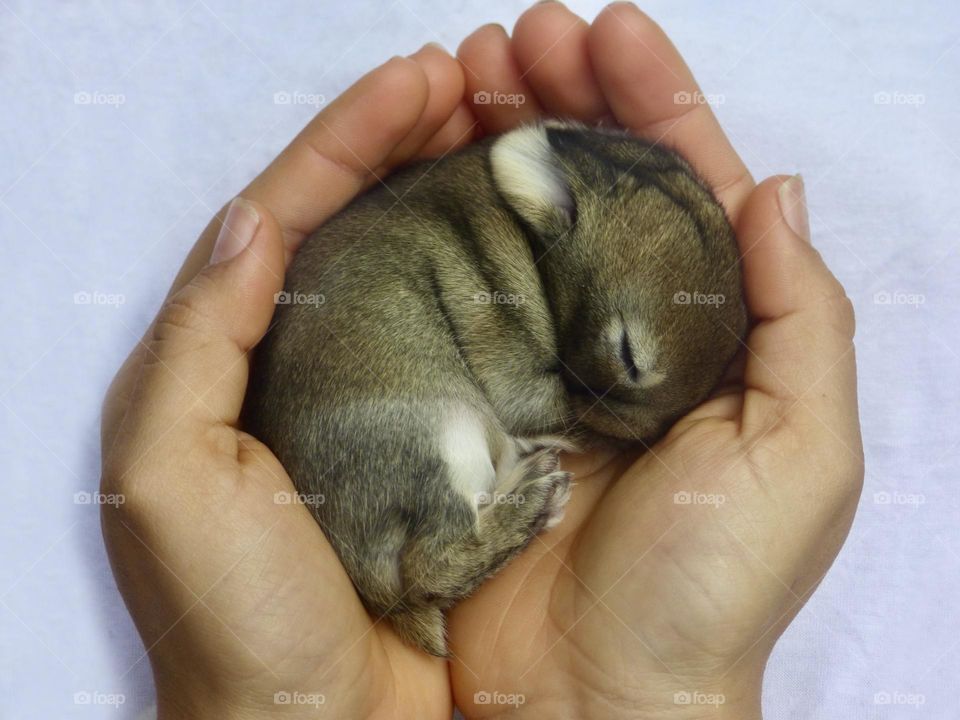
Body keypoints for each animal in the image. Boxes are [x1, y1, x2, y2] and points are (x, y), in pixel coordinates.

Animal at [242, 120, 747, 656]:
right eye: (627, 353)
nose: (625, 438)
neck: (531, 245)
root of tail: (372, 585)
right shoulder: (510, 365)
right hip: (444, 433)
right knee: (430, 567)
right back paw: (535, 497)